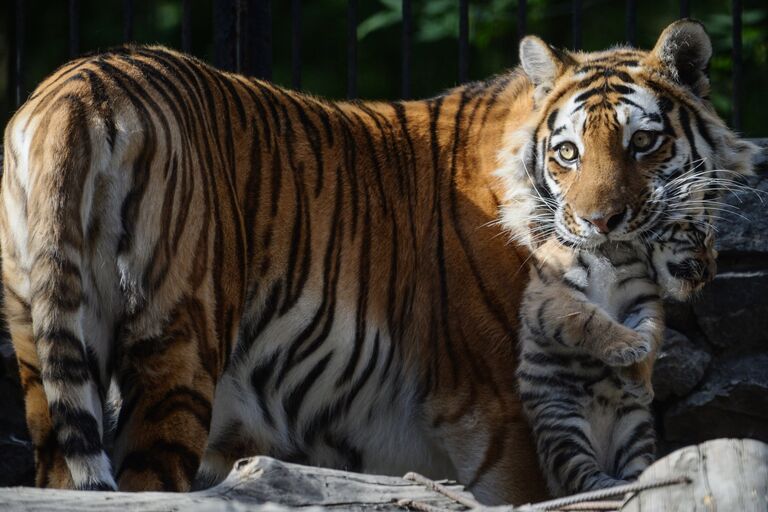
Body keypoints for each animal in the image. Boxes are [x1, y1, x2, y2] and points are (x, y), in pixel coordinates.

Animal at [0, 19, 756, 504]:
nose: (599, 224)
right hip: (178, 352)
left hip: (41, 346)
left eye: (643, 144)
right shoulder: (503, 418)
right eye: (567, 152)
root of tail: (83, 82)